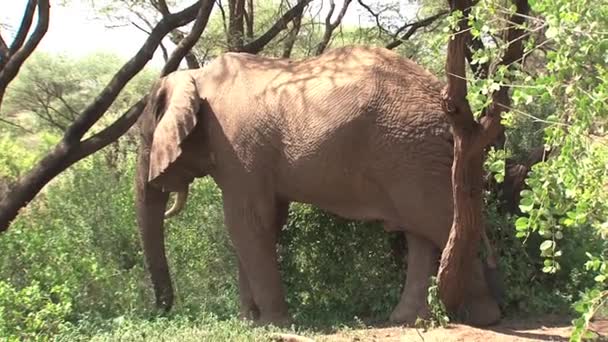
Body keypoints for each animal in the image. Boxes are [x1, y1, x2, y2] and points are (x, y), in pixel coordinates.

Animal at [135, 44, 502, 328]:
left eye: (143, 138)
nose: (163, 310)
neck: (196, 76)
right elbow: (265, 223)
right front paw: (250, 321)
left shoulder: (238, 148)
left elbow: (246, 223)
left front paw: (272, 324)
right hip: (415, 153)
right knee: (420, 231)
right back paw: (407, 320)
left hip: (410, 150)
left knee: (437, 220)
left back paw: (485, 318)